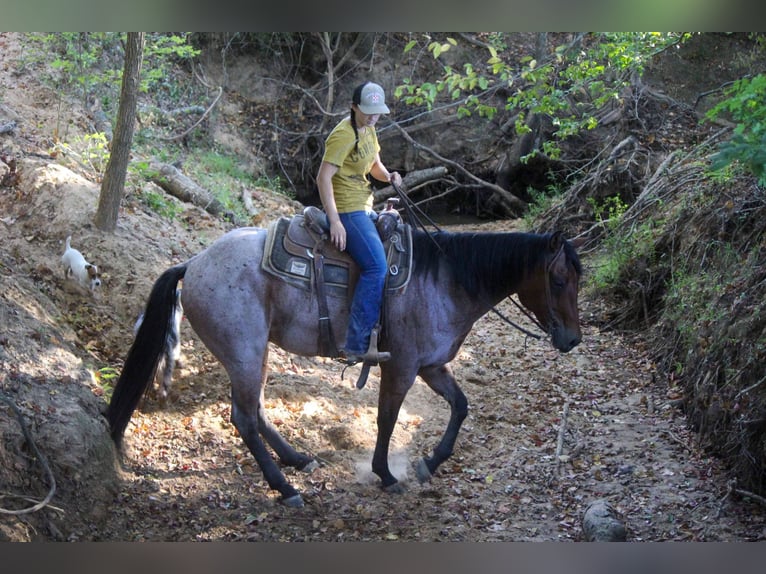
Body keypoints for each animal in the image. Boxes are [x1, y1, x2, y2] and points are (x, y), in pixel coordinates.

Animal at [106, 224, 584, 508]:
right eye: (559, 280)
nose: (573, 339)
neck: (443, 281)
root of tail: (193, 264)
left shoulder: (431, 366)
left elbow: (461, 406)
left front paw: (431, 462)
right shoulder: (402, 366)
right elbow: (387, 419)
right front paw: (386, 474)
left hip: (254, 354)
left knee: (255, 410)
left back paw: (297, 460)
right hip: (243, 351)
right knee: (243, 417)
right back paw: (285, 488)